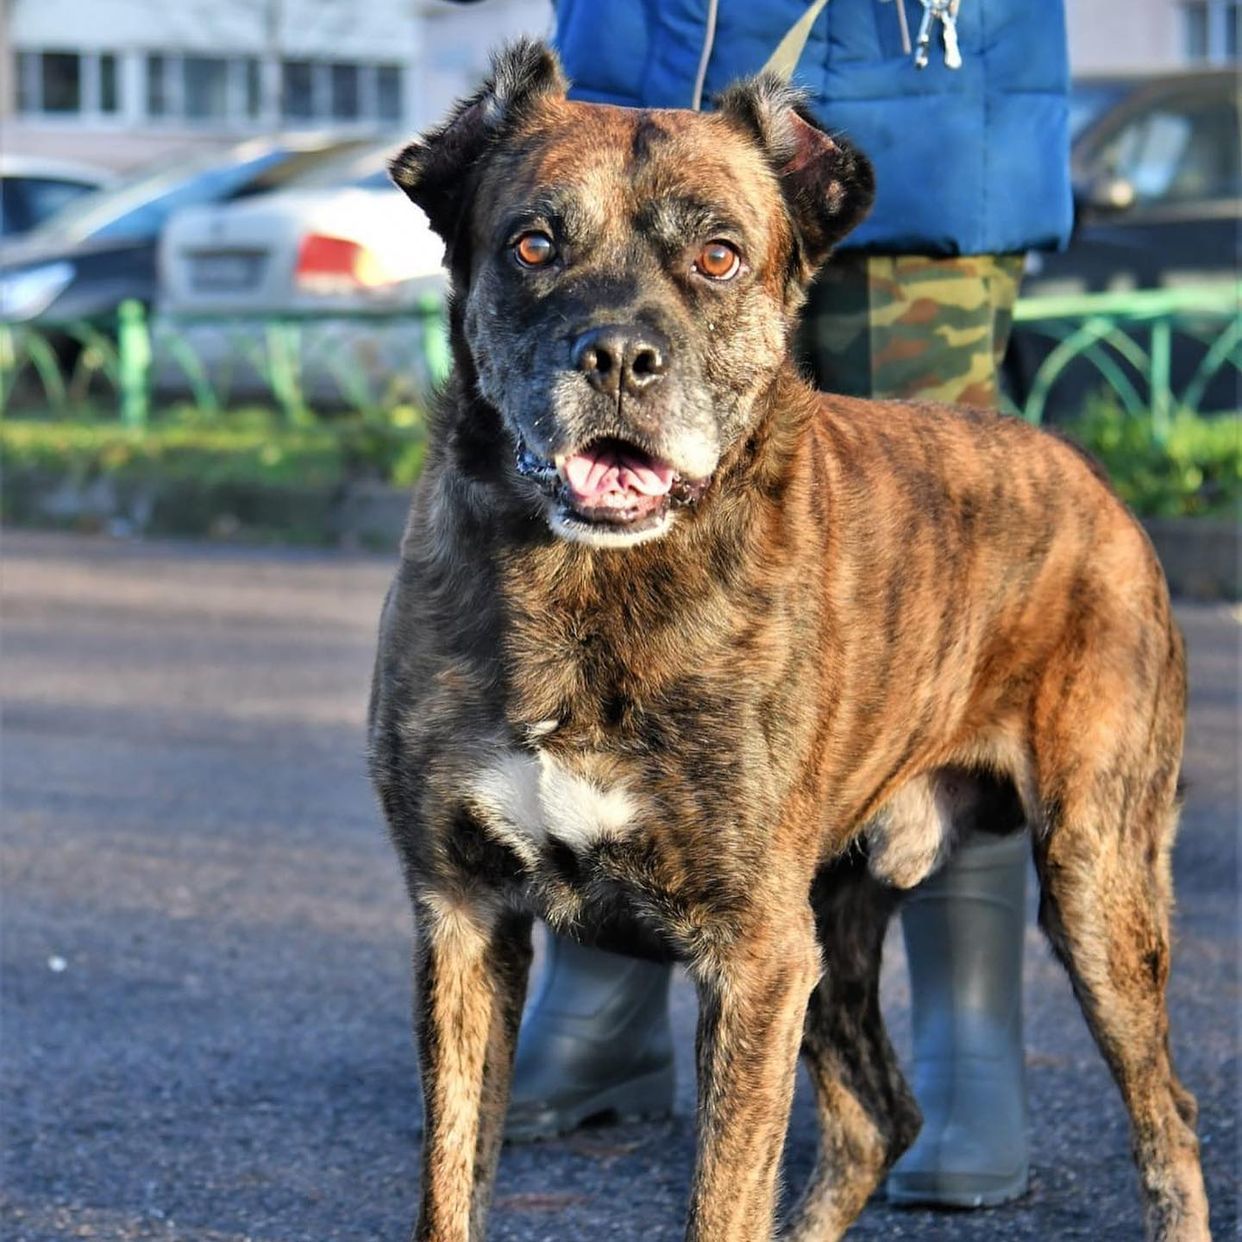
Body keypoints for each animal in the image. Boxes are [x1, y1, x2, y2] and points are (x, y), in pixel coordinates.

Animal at [362, 38, 1207, 1242]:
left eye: (718, 256)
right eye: (532, 243)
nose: (618, 356)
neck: (590, 588)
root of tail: (1094, 481)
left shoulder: (752, 957)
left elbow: (723, 1197)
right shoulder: (465, 916)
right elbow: (452, 1180)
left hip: (1097, 881)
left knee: (1166, 1115)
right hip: (833, 927)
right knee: (875, 1118)